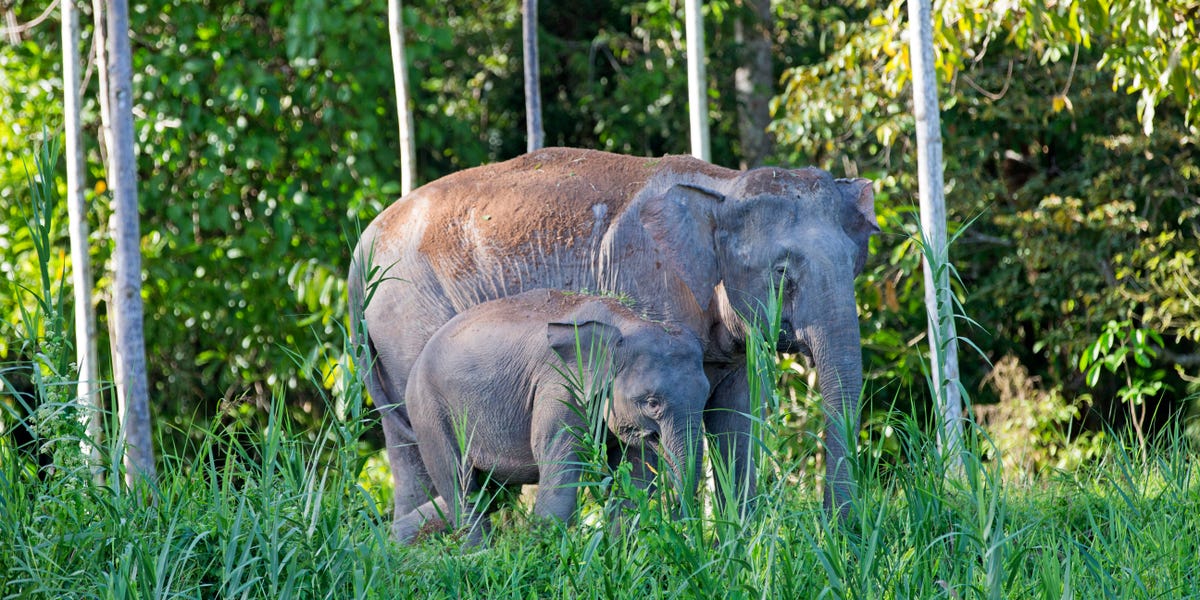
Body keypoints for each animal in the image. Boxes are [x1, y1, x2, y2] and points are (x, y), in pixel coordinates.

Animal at [399, 289, 709, 545]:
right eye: (652, 402)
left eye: (706, 397)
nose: (685, 528)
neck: (623, 323)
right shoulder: (559, 384)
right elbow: (559, 455)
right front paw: (547, 549)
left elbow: (635, 472)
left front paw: (624, 546)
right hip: (429, 412)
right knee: (460, 485)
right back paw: (477, 553)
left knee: (488, 493)